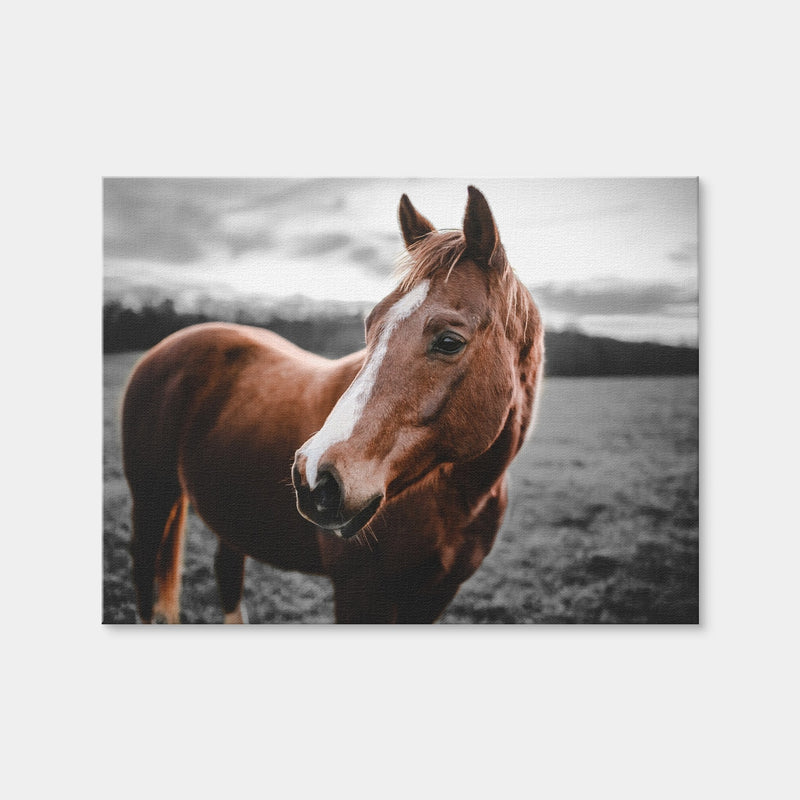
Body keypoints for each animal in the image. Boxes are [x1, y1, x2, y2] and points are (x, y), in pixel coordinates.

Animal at [121, 186, 544, 623]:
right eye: (370, 325)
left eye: (449, 341)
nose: (313, 478)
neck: (458, 498)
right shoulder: (360, 592)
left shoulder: (434, 596)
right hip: (152, 496)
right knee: (144, 566)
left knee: (227, 571)